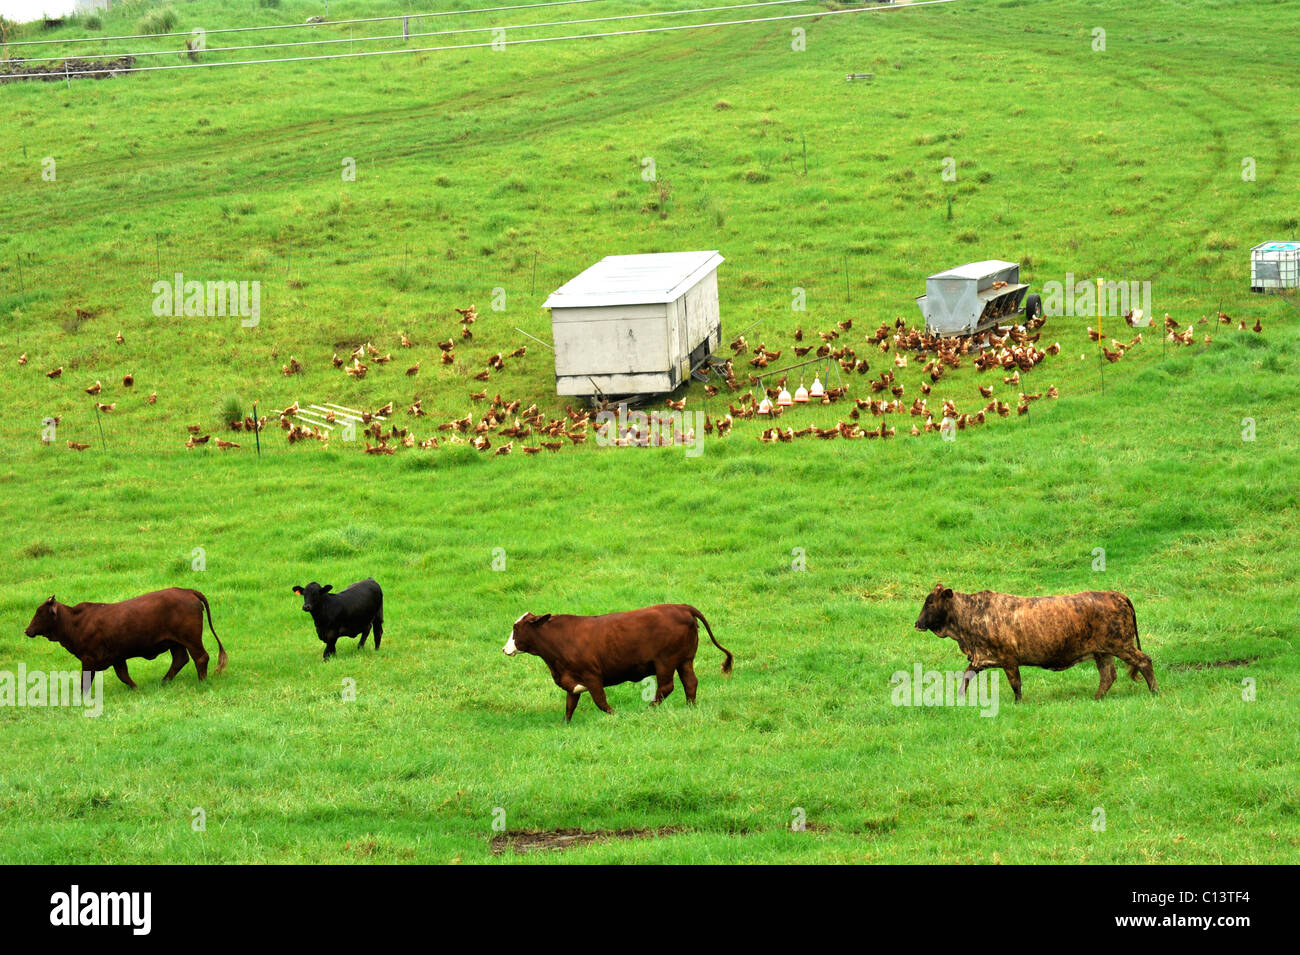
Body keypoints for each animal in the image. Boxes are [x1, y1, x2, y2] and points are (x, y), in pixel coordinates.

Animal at [25, 587, 230, 691]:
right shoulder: (117, 657)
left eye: (40, 612)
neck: (76, 622)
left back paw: (201, 682)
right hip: (176, 643)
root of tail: (187, 591)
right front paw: (136, 688)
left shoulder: (88, 660)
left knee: (200, 657)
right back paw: (163, 682)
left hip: (190, 639)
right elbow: (123, 675)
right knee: (180, 660)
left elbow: (86, 681)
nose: (27, 630)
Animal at [915, 582, 1159, 701]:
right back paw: (1097, 698)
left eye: (930, 602)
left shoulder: (1008, 658)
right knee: (1108, 675)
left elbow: (1016, 684)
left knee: (1144, 661)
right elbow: (966, 677)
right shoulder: (980, 658)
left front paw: (1018, 703)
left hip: (1121, 644)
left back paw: (1155, 691)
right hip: (1103, 651)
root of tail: (1115, 594)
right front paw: (958, 699)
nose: (917, 623)